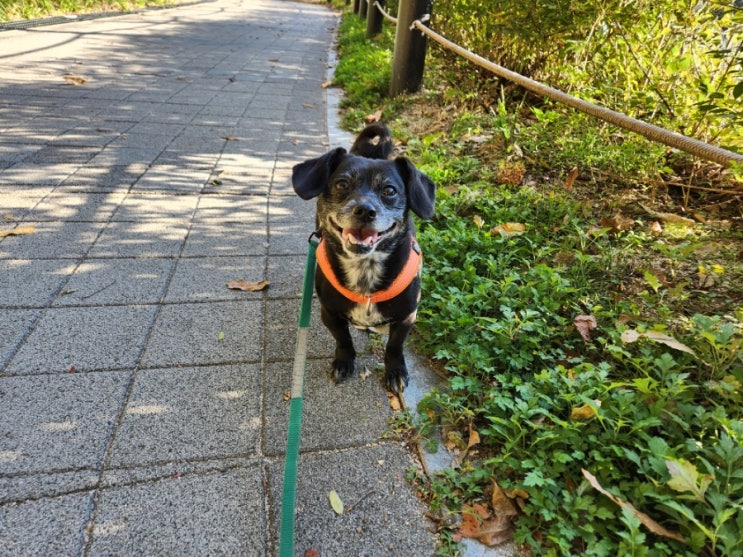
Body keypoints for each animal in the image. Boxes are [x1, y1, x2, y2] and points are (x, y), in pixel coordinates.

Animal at [292, 124, 436, 390]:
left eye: (389, 190)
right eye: (342, 184)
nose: (365, 210)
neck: (365, 269)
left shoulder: (407, 317)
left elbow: (394, 346)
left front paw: (395, 370)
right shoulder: (330, 314)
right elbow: (343, 340)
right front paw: (344, 362)